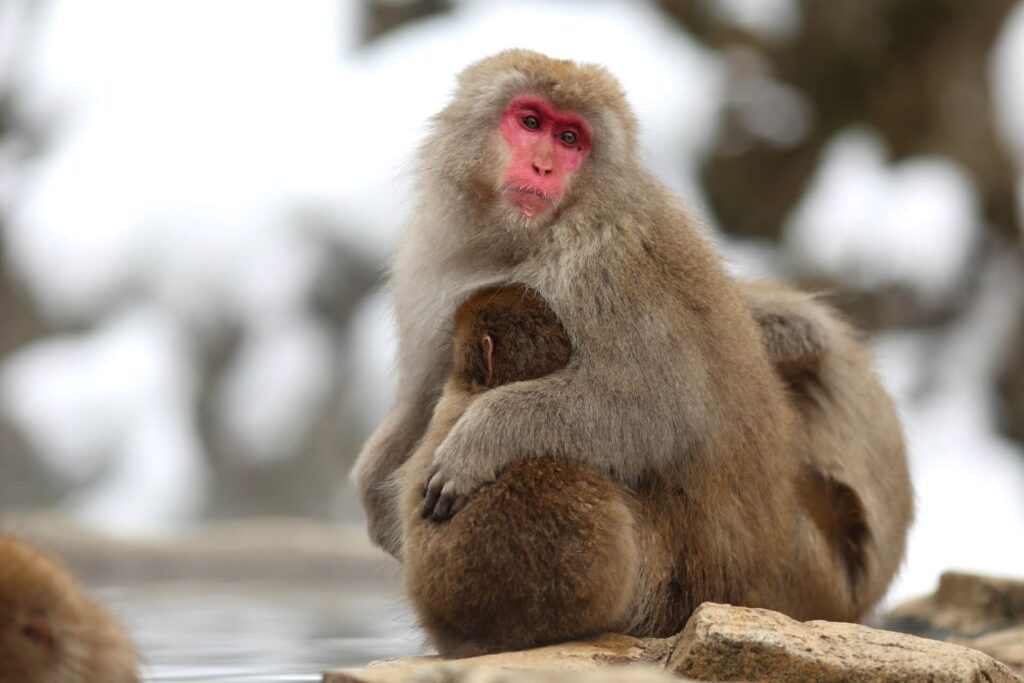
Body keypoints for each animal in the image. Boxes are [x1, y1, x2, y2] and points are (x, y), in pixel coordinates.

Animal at [351, 49, 913, 655]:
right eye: (531, 122)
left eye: (570, 138)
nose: (544, 167)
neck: (516, 242)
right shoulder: (427, 260)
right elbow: (420, 395)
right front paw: (375, 493)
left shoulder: (608, 258)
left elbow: (661, 407)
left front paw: (483, 435)